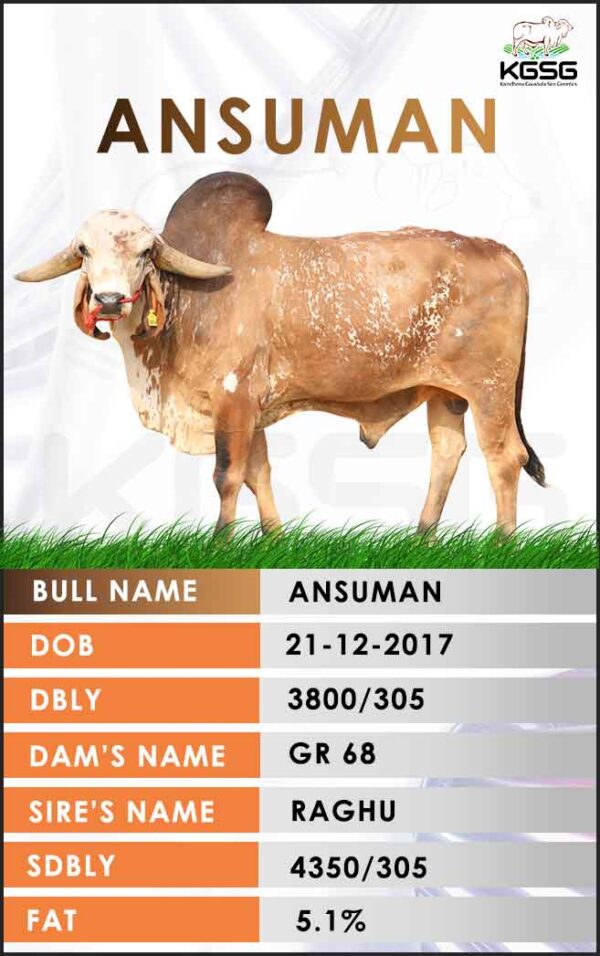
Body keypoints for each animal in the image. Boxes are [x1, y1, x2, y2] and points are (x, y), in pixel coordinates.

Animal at [16, 172, 545, 534]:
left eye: (146, 251)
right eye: (83, 250)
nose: (108, 300)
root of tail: (501, 251)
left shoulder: (234, 398)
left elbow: (227, 475)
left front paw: (221, 544)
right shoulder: (250, 410)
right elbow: (258, 473)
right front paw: (274, 537)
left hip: (489, 389)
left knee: (504, 457)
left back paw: (502, 543)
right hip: (444, 392)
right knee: (448, 452)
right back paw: (423, 537)